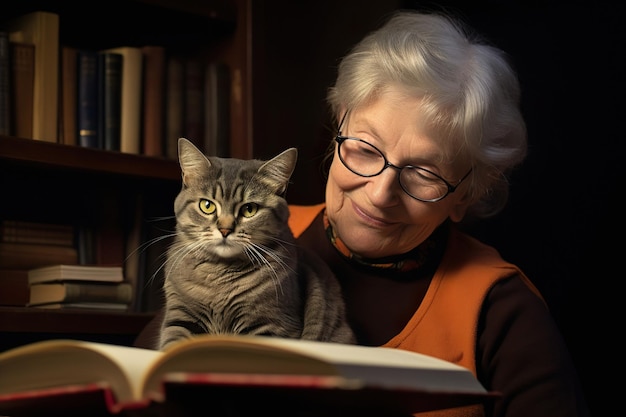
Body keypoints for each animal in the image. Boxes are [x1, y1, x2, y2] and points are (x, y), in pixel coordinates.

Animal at [157, 138, 356, 350]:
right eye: (207, 205)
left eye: (249, 209)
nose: (225, 230)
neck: (219, 277)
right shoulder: (180, 317)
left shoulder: (273, 324)